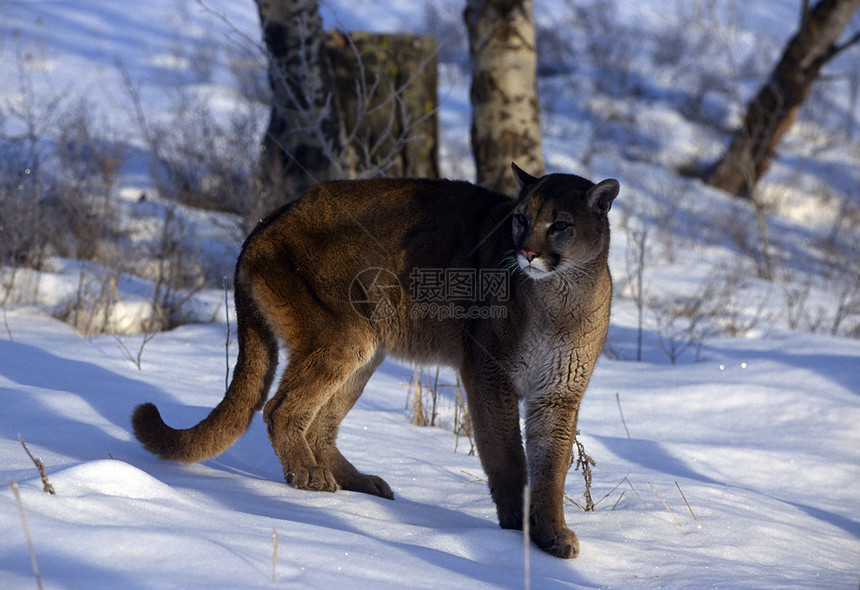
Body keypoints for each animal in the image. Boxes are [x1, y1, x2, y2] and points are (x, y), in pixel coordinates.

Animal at [133, 165, 620, 560]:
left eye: (560, 224)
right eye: (520, 219)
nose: (527, 253)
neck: (560, 299)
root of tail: (266, 221)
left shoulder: (558, 393)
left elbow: (552, 468)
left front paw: (551, 535)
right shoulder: (489, 376)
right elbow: (508, 458)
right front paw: (516, 531)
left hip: (365, 349)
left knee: (320, 423)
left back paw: (357, 482)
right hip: (344, 335)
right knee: (280, 408)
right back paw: (308, 475)